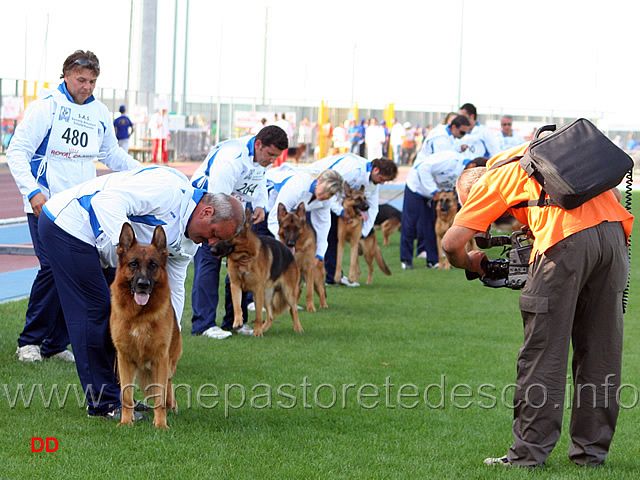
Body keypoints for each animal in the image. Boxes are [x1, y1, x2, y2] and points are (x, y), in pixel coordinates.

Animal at [110, 223, 182, 430]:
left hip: (169, 364)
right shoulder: (124, 359)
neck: (139, 316)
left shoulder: (160, 359)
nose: (143, 284)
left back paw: (171, 405)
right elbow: (126, 395)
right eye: (133, 264)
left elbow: (160, 395)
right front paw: (126, 422)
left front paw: (161, 425)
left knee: (168, 384)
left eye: (153, 265)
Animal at [209, 207, 302, 338]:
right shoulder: (235, 286)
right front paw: (238, 322)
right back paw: (263, 328)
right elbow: (237, 306)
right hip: (266, 295)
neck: (244, 256)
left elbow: (258, 315)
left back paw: (297, 328)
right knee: (271, 316)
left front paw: (257, 332)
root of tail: (289, 252)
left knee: (293, 310)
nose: (211, 250)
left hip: (287, 292)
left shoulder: (257, 290)